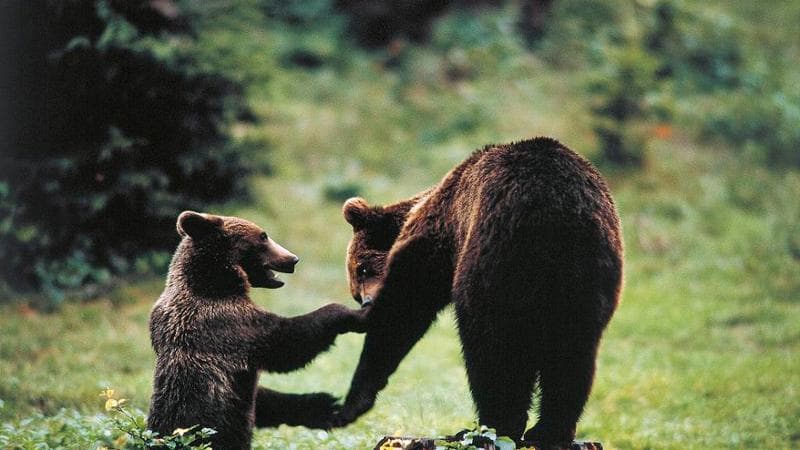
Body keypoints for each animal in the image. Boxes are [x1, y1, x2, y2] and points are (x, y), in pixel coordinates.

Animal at [147, 211, 369, 450]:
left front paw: (322, 405)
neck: (213, 283)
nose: (292, 259)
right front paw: (353, 313)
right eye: (263, 236)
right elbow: (287, 342)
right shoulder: (226, 324)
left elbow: (261, 397)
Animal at [331, 137, 623, 446]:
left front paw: (355, 398)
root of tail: (555, 216)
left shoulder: (440, 234)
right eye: (356, 288)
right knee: (572, 354)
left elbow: (408, 303)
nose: (367, 302)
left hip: (495, 263)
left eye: (362, 269)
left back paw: (490, 426)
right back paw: (548, 431)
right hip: (588, 276)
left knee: (489, 349)